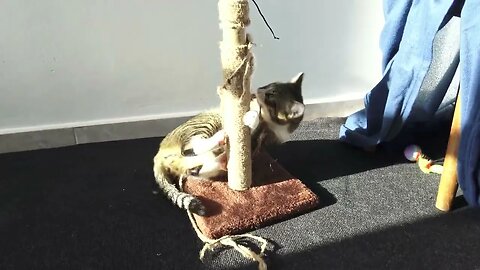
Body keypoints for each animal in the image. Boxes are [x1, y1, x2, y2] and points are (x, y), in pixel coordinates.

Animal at [153, 73, 304, 216]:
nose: (258, 89)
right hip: (208, 121)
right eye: (268, 85)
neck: (271, 124)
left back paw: (221, 158)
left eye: (270, 95)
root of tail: (158, 154)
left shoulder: (261, 142)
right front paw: (251, 114)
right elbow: (253, 111)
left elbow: (256, 139)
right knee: (192, 148)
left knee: (194, 163)